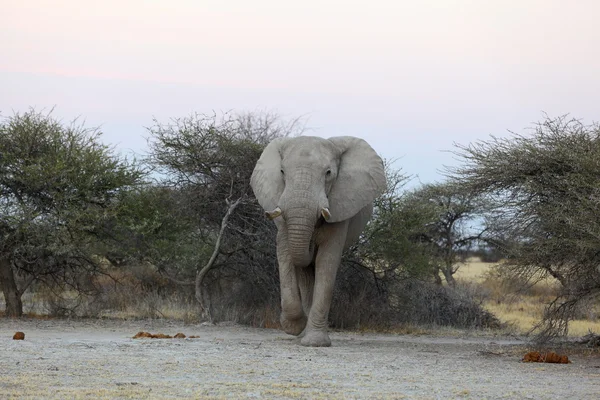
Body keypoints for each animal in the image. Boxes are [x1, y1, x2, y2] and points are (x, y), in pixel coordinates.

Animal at [251, 136, 386, 346]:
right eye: (282, 172)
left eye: (328, 173)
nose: (310, 244)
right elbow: (285, 253)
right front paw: (293, 327)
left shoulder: (340, 208)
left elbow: (326, 261)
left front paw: (315, 343)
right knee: (306, 276)